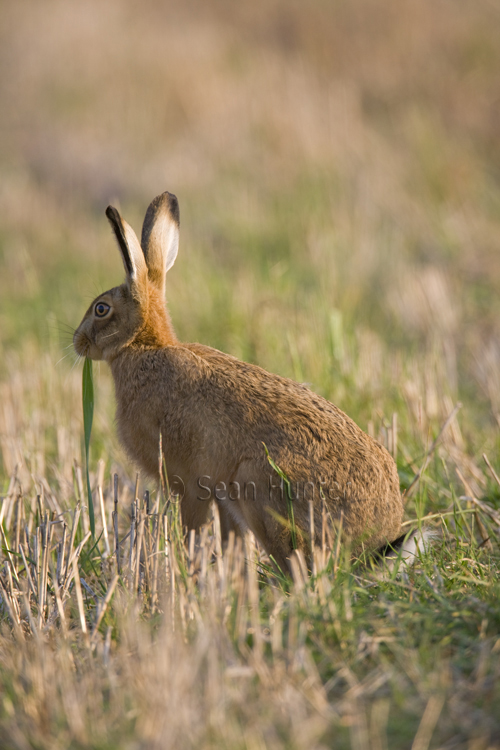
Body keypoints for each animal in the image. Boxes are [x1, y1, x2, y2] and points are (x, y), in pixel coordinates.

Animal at [74, 190, 408, 573]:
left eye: (101, 309)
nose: (77, 342)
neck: (144, 346)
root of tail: (376, 539)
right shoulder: (219, 497)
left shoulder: (191, 483)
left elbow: (192, 530)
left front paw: (188, 573)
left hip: (258, 488)